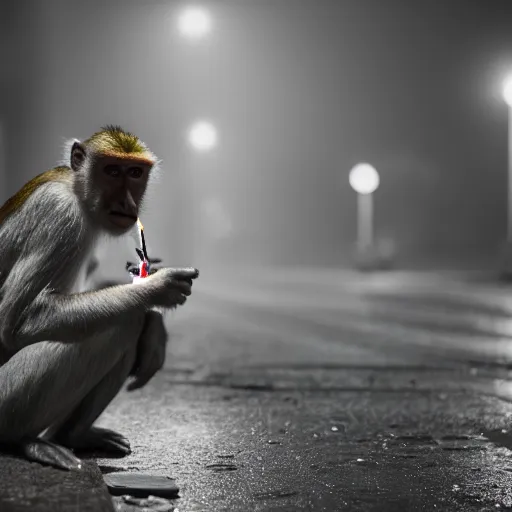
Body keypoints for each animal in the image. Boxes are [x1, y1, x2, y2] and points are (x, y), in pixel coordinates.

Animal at [0, 126, 198, 470]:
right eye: (112, 171)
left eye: (135, 173)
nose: (127, 200)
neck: (76, 192)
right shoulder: (59, 214)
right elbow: (18, 321)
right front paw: (158, 289)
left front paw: (156, 324)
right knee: (119, 323)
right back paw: (22, 441)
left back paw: (74, 436)